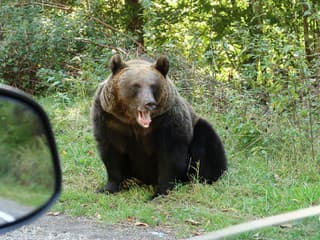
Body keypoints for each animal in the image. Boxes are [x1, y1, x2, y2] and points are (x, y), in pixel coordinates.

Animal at [92, 55, 228, 198]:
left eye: (153, 86)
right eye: (136, 85)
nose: (149, 103)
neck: (135, 123)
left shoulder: (167, 123)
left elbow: (170, 158)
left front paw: (159, 192)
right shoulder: (110, 122)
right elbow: (112, 155)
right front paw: (108, 188)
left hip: (196, 129)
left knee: (206, 144)